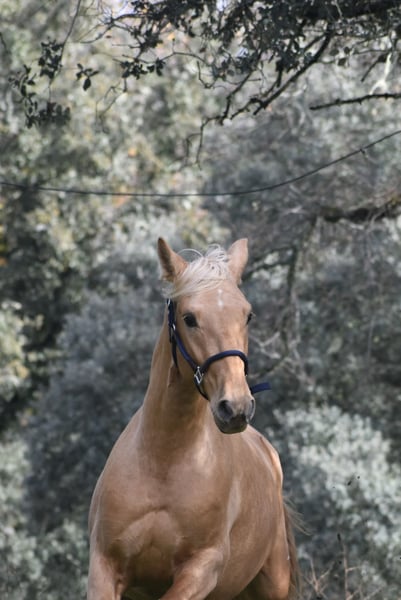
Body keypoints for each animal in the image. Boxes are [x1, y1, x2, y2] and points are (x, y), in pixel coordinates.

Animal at [87, 238, 298, 600]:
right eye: (189, 318)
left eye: (248, 315)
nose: (235, 407)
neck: (164, 463)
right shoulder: (104, 566)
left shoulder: (201, 570)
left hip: (272, 585)